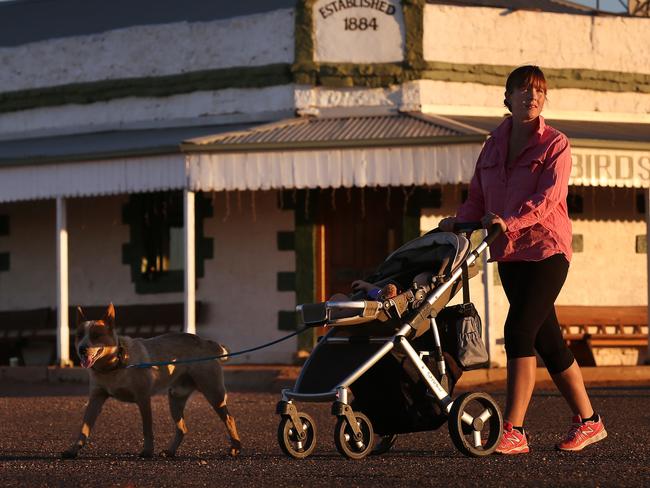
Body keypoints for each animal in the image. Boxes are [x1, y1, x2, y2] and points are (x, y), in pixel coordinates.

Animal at [61, 304, 240, 460]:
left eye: (96, 335)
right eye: (79, 335)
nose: (81, 349)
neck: (114, 366)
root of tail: (206, 342)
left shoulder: (143, 399)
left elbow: (147, 429)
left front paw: (147, 451)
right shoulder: (96, 399)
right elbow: (84, 428)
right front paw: (73, 450)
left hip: (213, 394)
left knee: (229, 419)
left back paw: (235, 448)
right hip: (175, 399)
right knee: (182, 428)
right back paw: (170, 451)